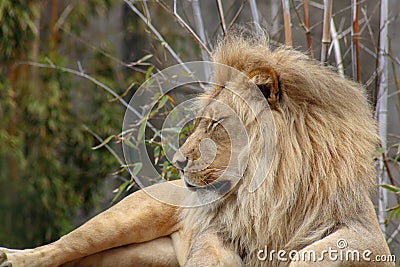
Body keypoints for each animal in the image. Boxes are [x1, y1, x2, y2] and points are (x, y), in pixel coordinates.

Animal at [0, 30, 394, 266]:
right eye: (199, 120)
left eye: (216, 125)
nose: (176, 161)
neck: (269, 191)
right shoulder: (218, 232)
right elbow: (211, 255)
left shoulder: (366, 232)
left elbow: (319, 253)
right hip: (125, 217)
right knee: (61, 246)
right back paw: (14, 257)